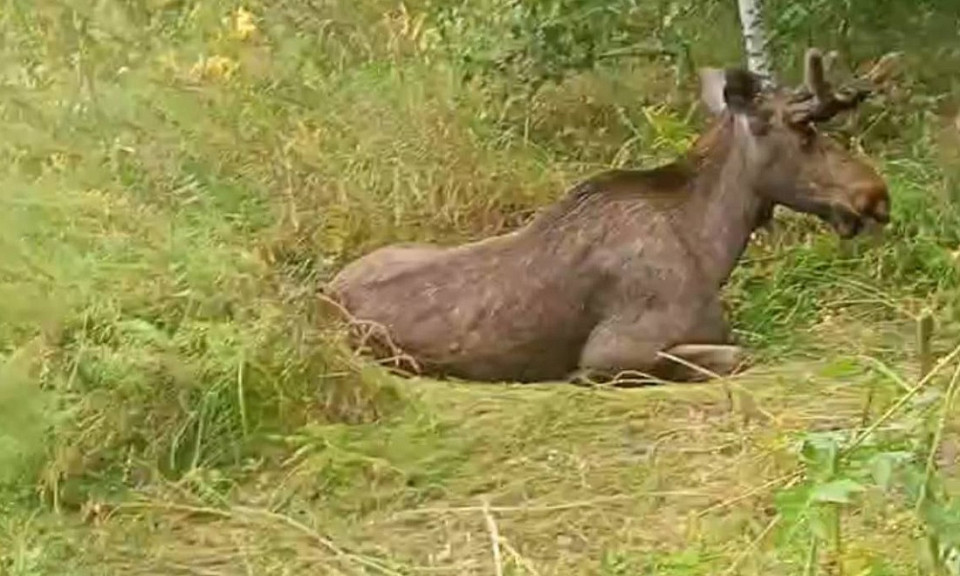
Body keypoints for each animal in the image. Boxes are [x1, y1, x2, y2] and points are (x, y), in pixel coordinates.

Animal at [328, 48, 900, 382]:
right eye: (804, 132)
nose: (876, 194)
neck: (710, 245)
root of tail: (325, 293)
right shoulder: (610, 349)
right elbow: (736, 354)